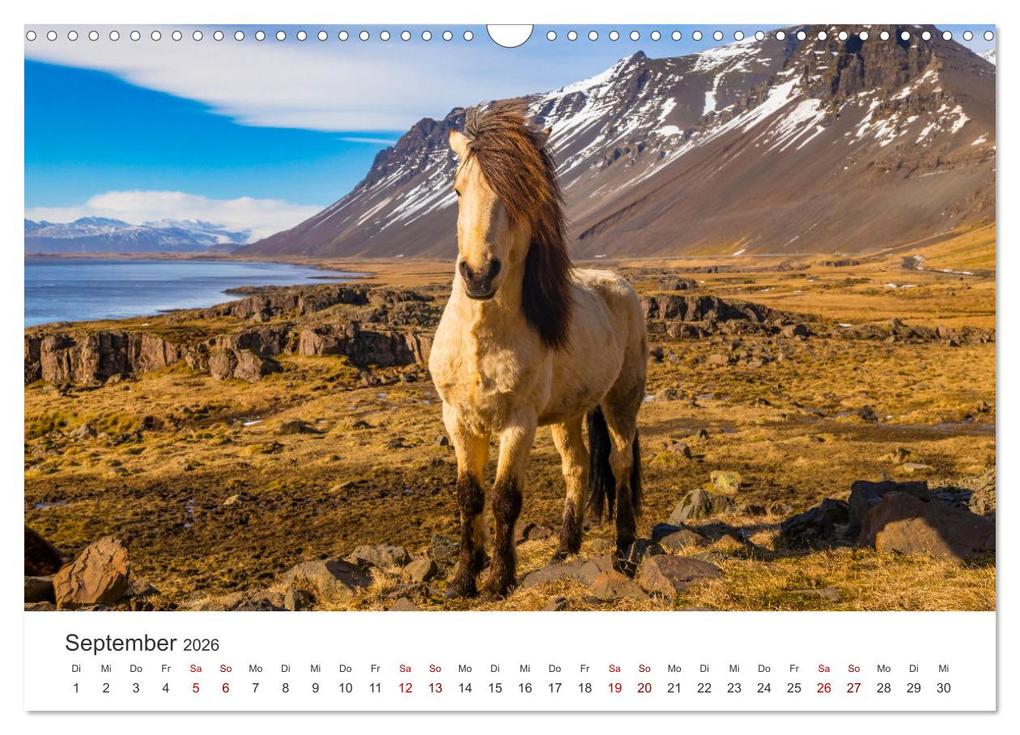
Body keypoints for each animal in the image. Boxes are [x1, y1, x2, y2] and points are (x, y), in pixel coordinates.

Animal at [428, 102, 648, 599]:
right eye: (457, 191)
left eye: (520, 197)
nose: (478, 275)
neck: (481, 337)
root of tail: (620, 284)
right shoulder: (458, 419)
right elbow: (468, 496)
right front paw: (463, 579)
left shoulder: (519, 422)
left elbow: (505, 498)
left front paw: (499, 580)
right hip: (569, 414)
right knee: (578, 467)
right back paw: (565, 549)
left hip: (622, 399)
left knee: (620, 462)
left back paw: (624, 550)